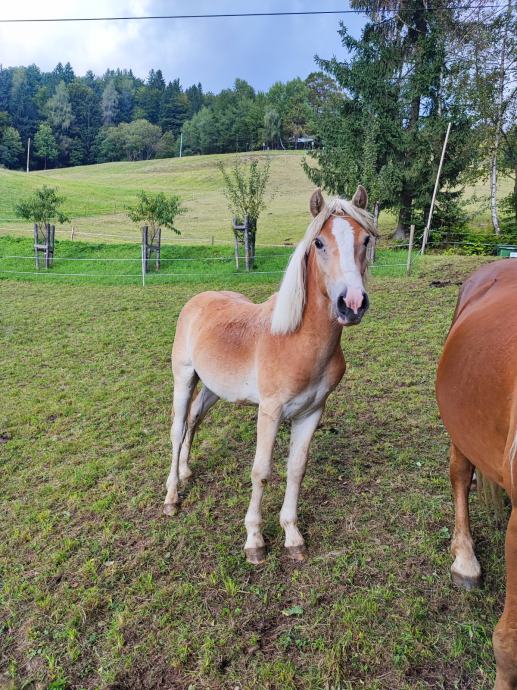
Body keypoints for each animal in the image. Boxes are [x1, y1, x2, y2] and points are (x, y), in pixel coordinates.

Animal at [163, 185, 376, 560]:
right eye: (319, 243)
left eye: (365, 239)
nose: (351, 304)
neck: (296, 341)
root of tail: (198, 300)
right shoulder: (270, 411)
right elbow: (261, 471)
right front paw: (254, 540)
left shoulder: (311, 412)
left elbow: (296, 470)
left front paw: (292, 535)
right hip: (184, 377)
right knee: (177, 430)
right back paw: (172, 496)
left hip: (213, 388)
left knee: (193, 419)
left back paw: (186, 471)